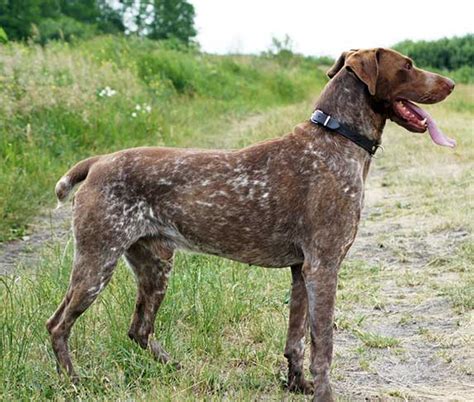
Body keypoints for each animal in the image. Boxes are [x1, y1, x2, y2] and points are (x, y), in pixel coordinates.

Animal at [48, 48, 456, 400]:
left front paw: (297, 384)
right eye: (408, 66)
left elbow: (296, 339)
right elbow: (323, 344)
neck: (337, 138)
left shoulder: (301, 270)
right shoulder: (324, 267)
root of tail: (99, 161)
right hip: (97, 263)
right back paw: (74, 382)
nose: (451, 83)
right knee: (58, 325)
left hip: (154, 265)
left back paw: (173, 368)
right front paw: (323, 394)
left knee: (138, 329)